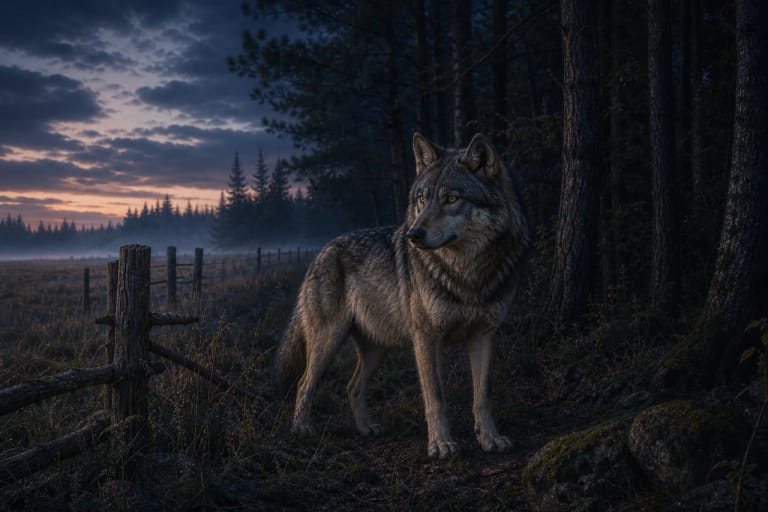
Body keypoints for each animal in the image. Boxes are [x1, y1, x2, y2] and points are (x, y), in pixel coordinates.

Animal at [275, 132, 530, 458]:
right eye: (422, 199)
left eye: (452, 199)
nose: (413, 234)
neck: (467, 274)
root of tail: (322, 251)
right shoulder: (426, 337)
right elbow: (436, 397)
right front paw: (440, 444)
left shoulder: (484, 333)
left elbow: (482, 395)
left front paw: (489, 438)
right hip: (327, 342)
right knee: (304, 382)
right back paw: (302, 429)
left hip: (377, 348)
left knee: (352, 387)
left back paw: (366, 429)